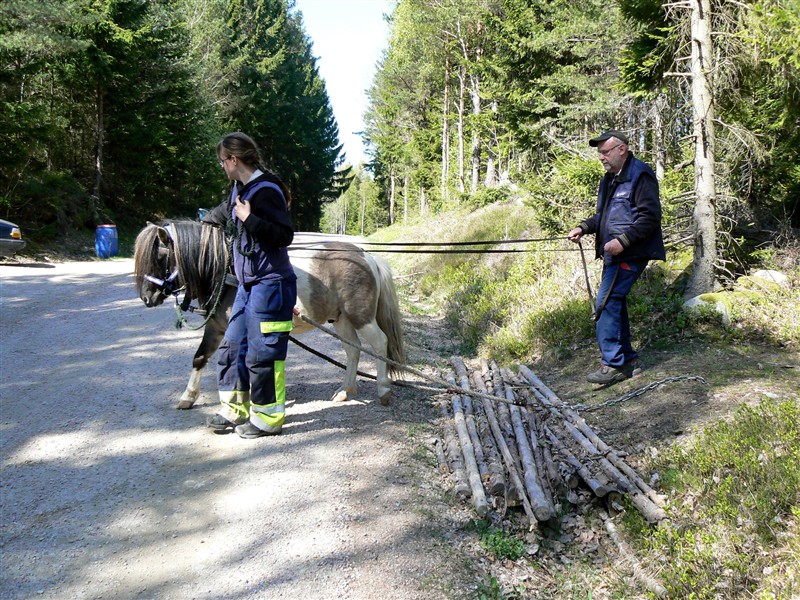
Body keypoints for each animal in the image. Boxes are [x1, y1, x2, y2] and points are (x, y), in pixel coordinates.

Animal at [135, 223, 406, 410]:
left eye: (160, 257)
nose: (147, 297)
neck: (227, 272)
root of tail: (366, 256)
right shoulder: (215, 327)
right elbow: (199, 358)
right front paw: (188, 397)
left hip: (361, 316)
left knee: (379, 343)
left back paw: (383, 390)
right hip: (341, 319)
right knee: (353, 350)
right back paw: (345, 390)